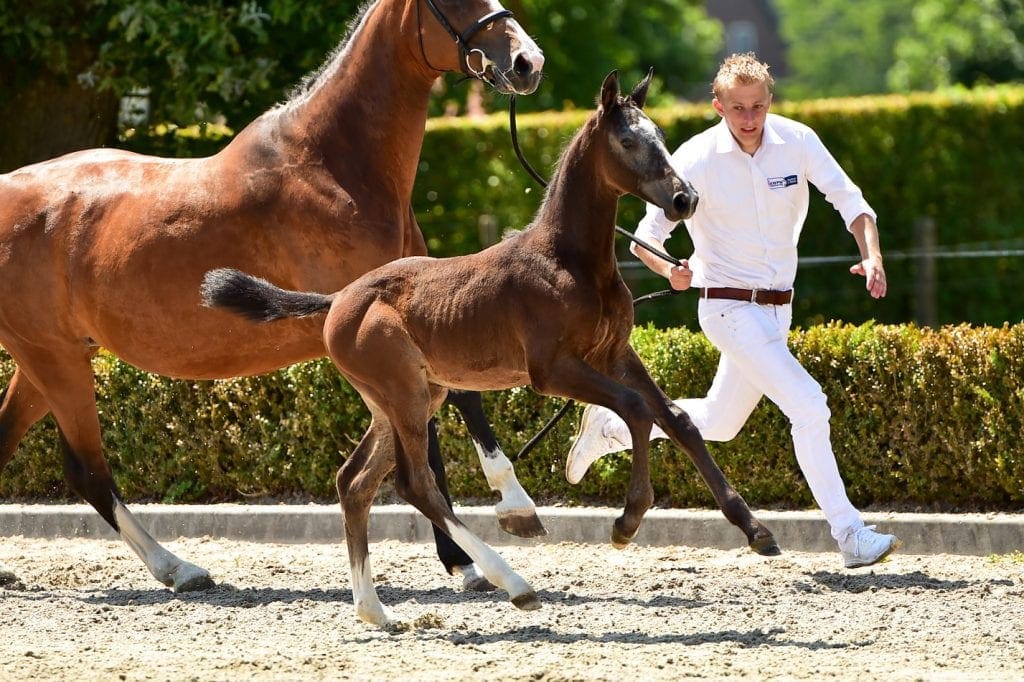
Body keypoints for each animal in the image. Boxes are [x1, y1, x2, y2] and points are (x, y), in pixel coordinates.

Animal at [0, 0, 544, 594]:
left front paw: (462, 559)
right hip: (54, 358)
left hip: (51, 358)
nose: (526, 62)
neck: (334, 167)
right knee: (88, 469)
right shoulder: (381, 322)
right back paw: (179, 568)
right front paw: (509, 509)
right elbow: (455, 408)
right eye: (449, 0)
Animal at [201, 70, 780, 626]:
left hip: (405, 399)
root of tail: (338, 299)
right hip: (406, 394)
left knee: (355, 482)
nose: (685, 199)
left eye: (660, 134)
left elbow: (677, 419)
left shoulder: (615, 353)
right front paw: (628, 520)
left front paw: (755, 531)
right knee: (416, 485)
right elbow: (636, 409)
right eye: (627, 140)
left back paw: (375, 611)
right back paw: (514, 585)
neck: (569, 260)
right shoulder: (552, 370)